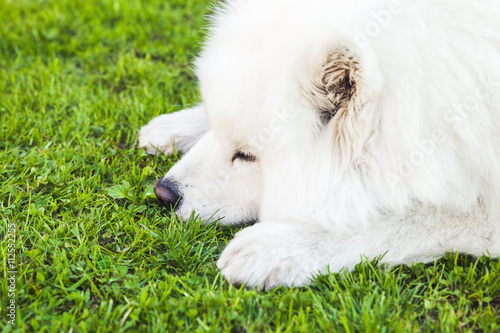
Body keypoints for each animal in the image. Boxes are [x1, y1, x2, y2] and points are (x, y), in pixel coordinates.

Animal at [139, 0, 500, 288]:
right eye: (216, 128)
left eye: (246, 156)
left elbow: (403, 221)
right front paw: (174, 128)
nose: (164, 193)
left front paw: (275, 248)